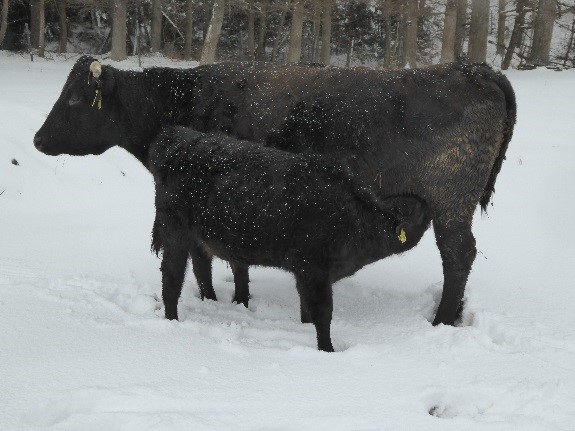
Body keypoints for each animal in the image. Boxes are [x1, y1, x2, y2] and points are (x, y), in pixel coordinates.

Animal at [34, 56, 516, 327]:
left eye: (75, 99)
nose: (38, 140)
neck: (185, 100)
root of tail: (474, 69)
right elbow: (219, 258)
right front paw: (230, 300)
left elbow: (215, 259)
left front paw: (224, 300)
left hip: (450, 206)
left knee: (458, 257)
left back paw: (442, 321)